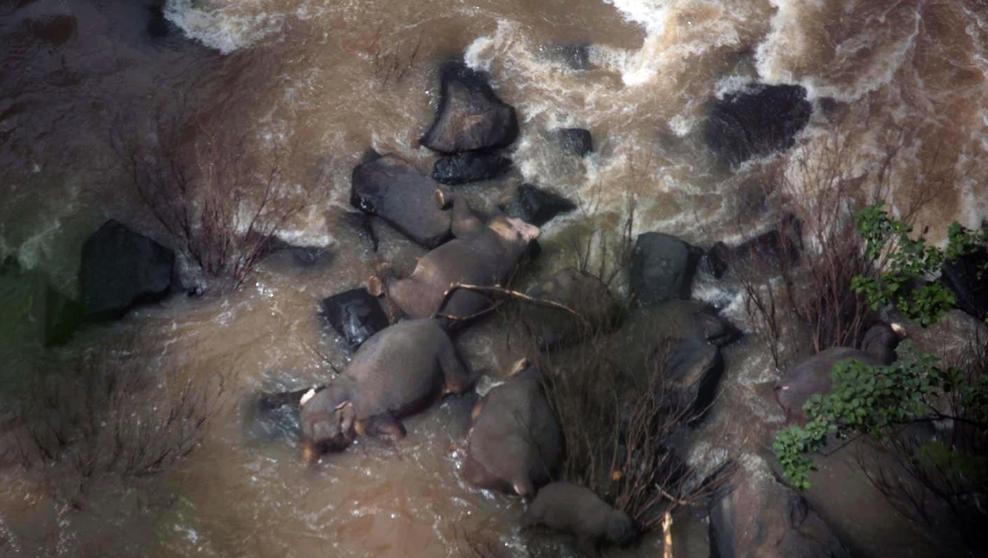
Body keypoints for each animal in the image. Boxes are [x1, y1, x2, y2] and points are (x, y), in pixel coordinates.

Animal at [298, 319, 473, 462]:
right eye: (302, 435)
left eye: (325, 444)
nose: (307, 461)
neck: (342, 389)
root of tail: (439, 323)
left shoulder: (374, 415)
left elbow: (400, 433)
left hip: (446, 352)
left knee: (460, 383)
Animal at [369, 196, 539, 325]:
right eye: (515, 218)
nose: (533, 230)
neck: (505, 241)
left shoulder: (472, 229)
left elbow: (460, 219)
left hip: (410, 291)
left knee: (391, 285)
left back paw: (379, 273)